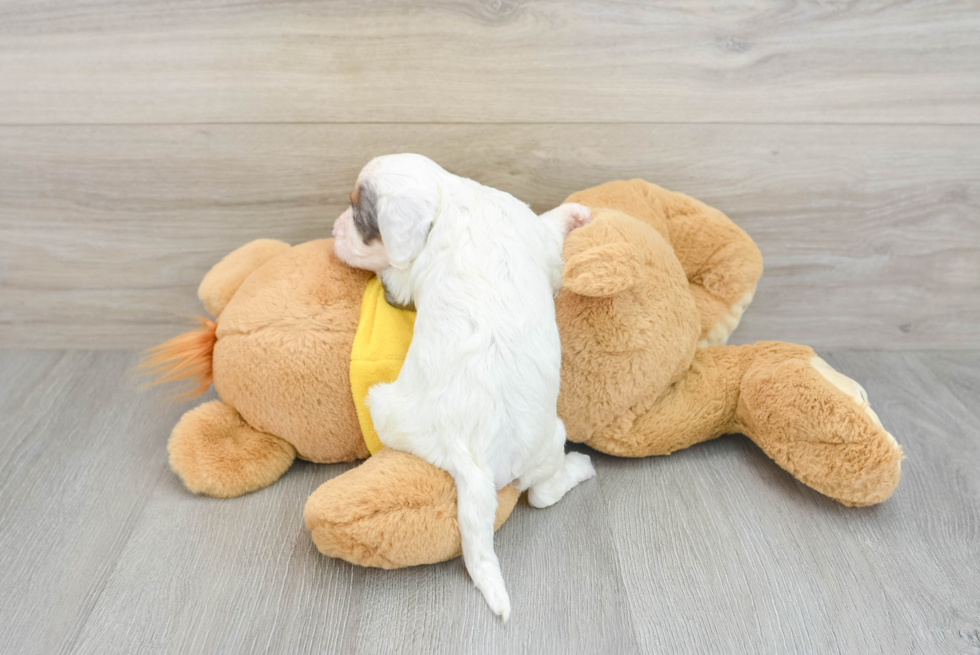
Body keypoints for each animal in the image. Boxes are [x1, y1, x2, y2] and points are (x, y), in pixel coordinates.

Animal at [334, 154, 592, 620]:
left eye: (359, 218)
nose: (332, 229)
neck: (447, 198)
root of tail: (469, 455)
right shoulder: (534, 236)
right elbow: (550, 229)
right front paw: (576, 213)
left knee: (539, 493)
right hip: (547, 436)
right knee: (541, 494)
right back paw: (580, 467)